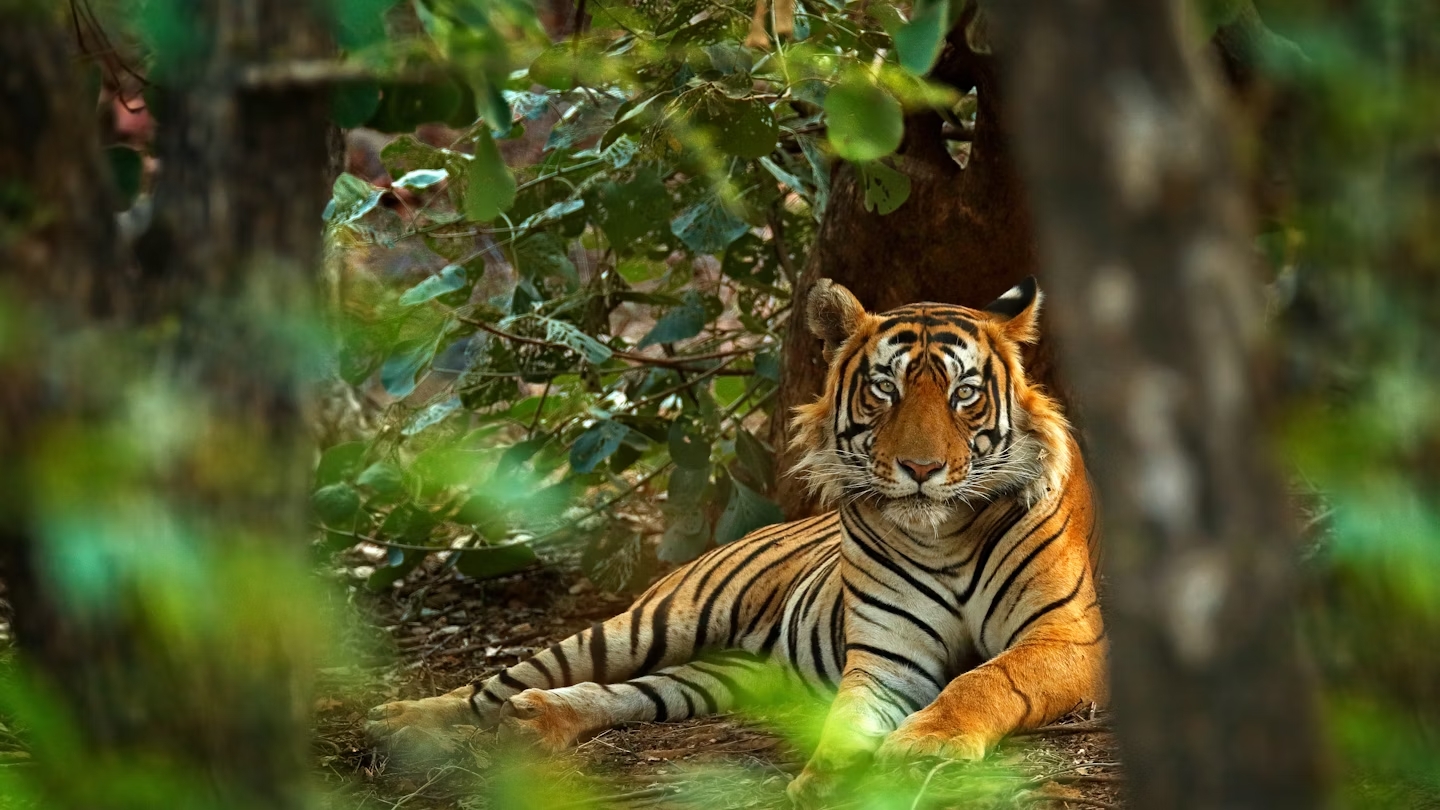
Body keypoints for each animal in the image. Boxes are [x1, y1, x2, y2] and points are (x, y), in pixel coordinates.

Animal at [367, 277, 1107, 805]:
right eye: (884, 389)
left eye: (965, 395)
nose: (920, 469)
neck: (943, 534)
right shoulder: (886, 657)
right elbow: (849, 718)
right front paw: (828, 779)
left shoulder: (1066, 637)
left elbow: (986, 678)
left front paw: (924, 746)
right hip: (655, 622)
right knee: (503, 680)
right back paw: (401, 719)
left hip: (727, 674)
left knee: (632, 693)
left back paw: (536, 721)